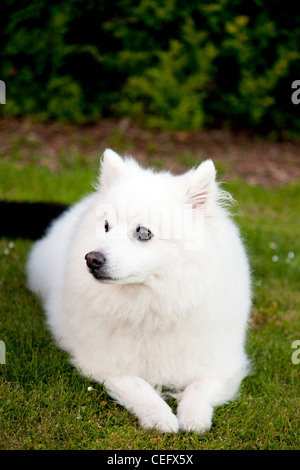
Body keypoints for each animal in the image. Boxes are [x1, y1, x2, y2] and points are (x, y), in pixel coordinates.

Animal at [26, 151, 251, 434]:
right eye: (106, 226)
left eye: (143, 232)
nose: (92, 259)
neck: (152, 305)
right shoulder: (104, 364)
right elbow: (138, 387)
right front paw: (161, 417)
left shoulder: (221, 366)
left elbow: (200, 387)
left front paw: (193, 418)